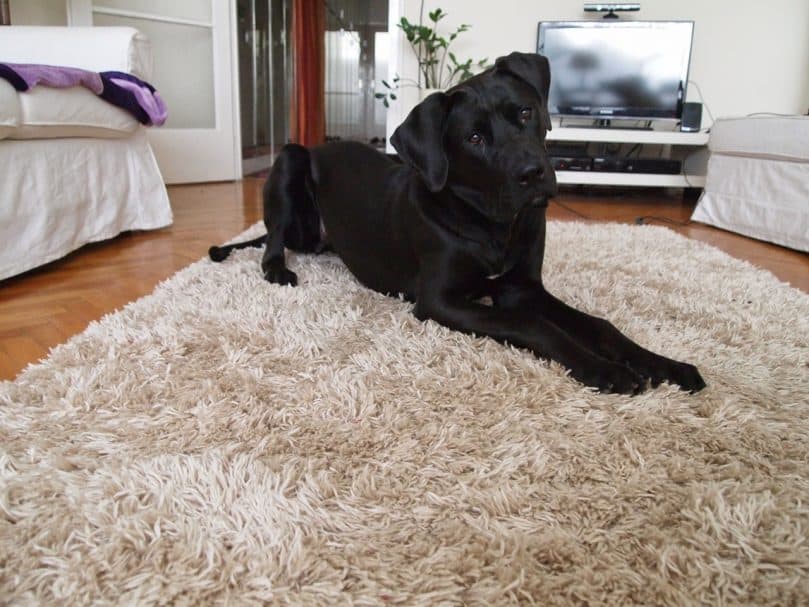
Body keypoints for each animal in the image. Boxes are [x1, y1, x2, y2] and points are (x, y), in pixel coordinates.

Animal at [208, 51, 700, 394]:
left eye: (525, 112)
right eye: (475, 138)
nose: (533, 173)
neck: (492, 223)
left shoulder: (522, 288)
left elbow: (599, 324)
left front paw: (664, 364)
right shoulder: (441, 301)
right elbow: (534, 326)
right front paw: (603, 368)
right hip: (290, 158)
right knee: (272, 238)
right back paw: (277, 269)